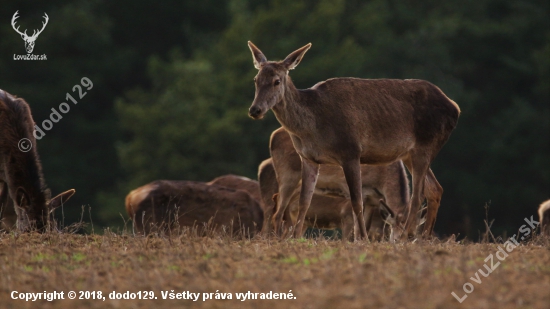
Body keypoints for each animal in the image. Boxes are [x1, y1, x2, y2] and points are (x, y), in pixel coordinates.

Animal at [248, 41, 460, 238]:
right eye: (256, 79)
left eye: (276, 81)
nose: (255, 110)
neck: (313, 128)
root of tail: (455, 108)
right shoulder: (308, 158)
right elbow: (304, 202)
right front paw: (294, 238)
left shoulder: (350, 151)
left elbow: (356, 202)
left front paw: (363, 239)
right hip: (410, 153)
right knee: (434, 189)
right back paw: (422, 237)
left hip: (426, 144)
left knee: (418, 194)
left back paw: (407, 237)